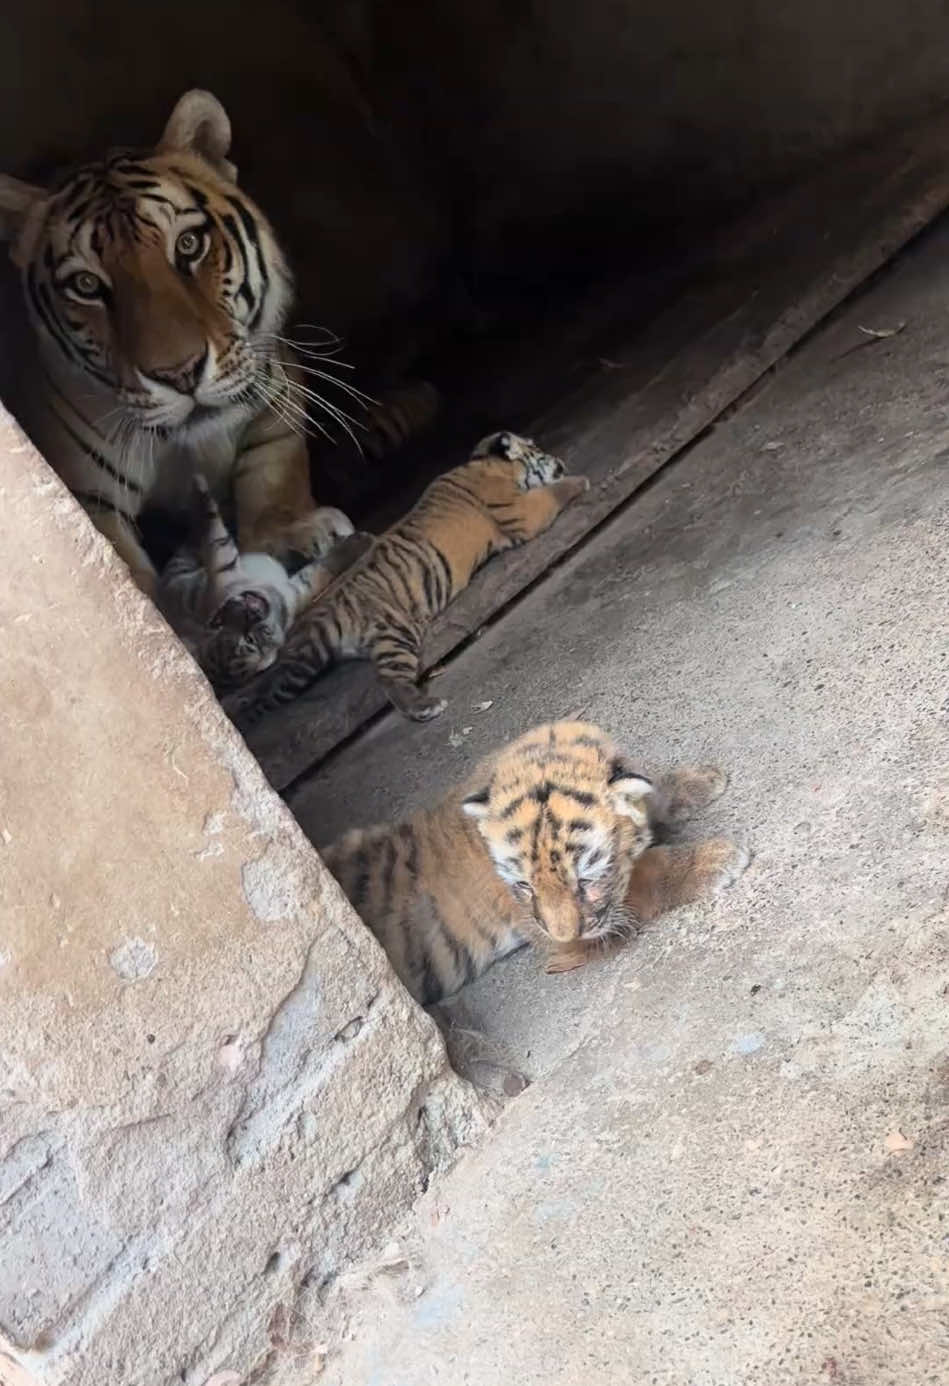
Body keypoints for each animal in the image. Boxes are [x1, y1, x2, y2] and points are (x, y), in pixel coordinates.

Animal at [0, 88, 358, 598]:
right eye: (87, 285)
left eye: (188, 245)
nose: (180, 373)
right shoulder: (89, 494)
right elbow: (122, 571)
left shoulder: (274, 387)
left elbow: (272, 470)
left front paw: (291, 532)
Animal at [158, 474, 371, 692]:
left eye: (248, 639)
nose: (253, 614)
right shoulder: (292, 591)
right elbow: (320, 570)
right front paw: (357, 542)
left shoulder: (221, 568)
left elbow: (213, 529)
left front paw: (199, 487)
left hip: (181, 569)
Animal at [231, 430, 589, 726]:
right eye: (538, 449)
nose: (559, 461)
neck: (485, 463)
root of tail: (325, 616)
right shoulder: (521, 515)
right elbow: (553, 493)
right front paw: (580, 481)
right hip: (395, 631)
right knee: (390, 683)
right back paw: (425, 707)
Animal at [321, 721, 751, 1005]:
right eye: (525, 886)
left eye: (585, 880)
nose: (565, 939)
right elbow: (643, 876)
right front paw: (715, 858)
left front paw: (702, 779)